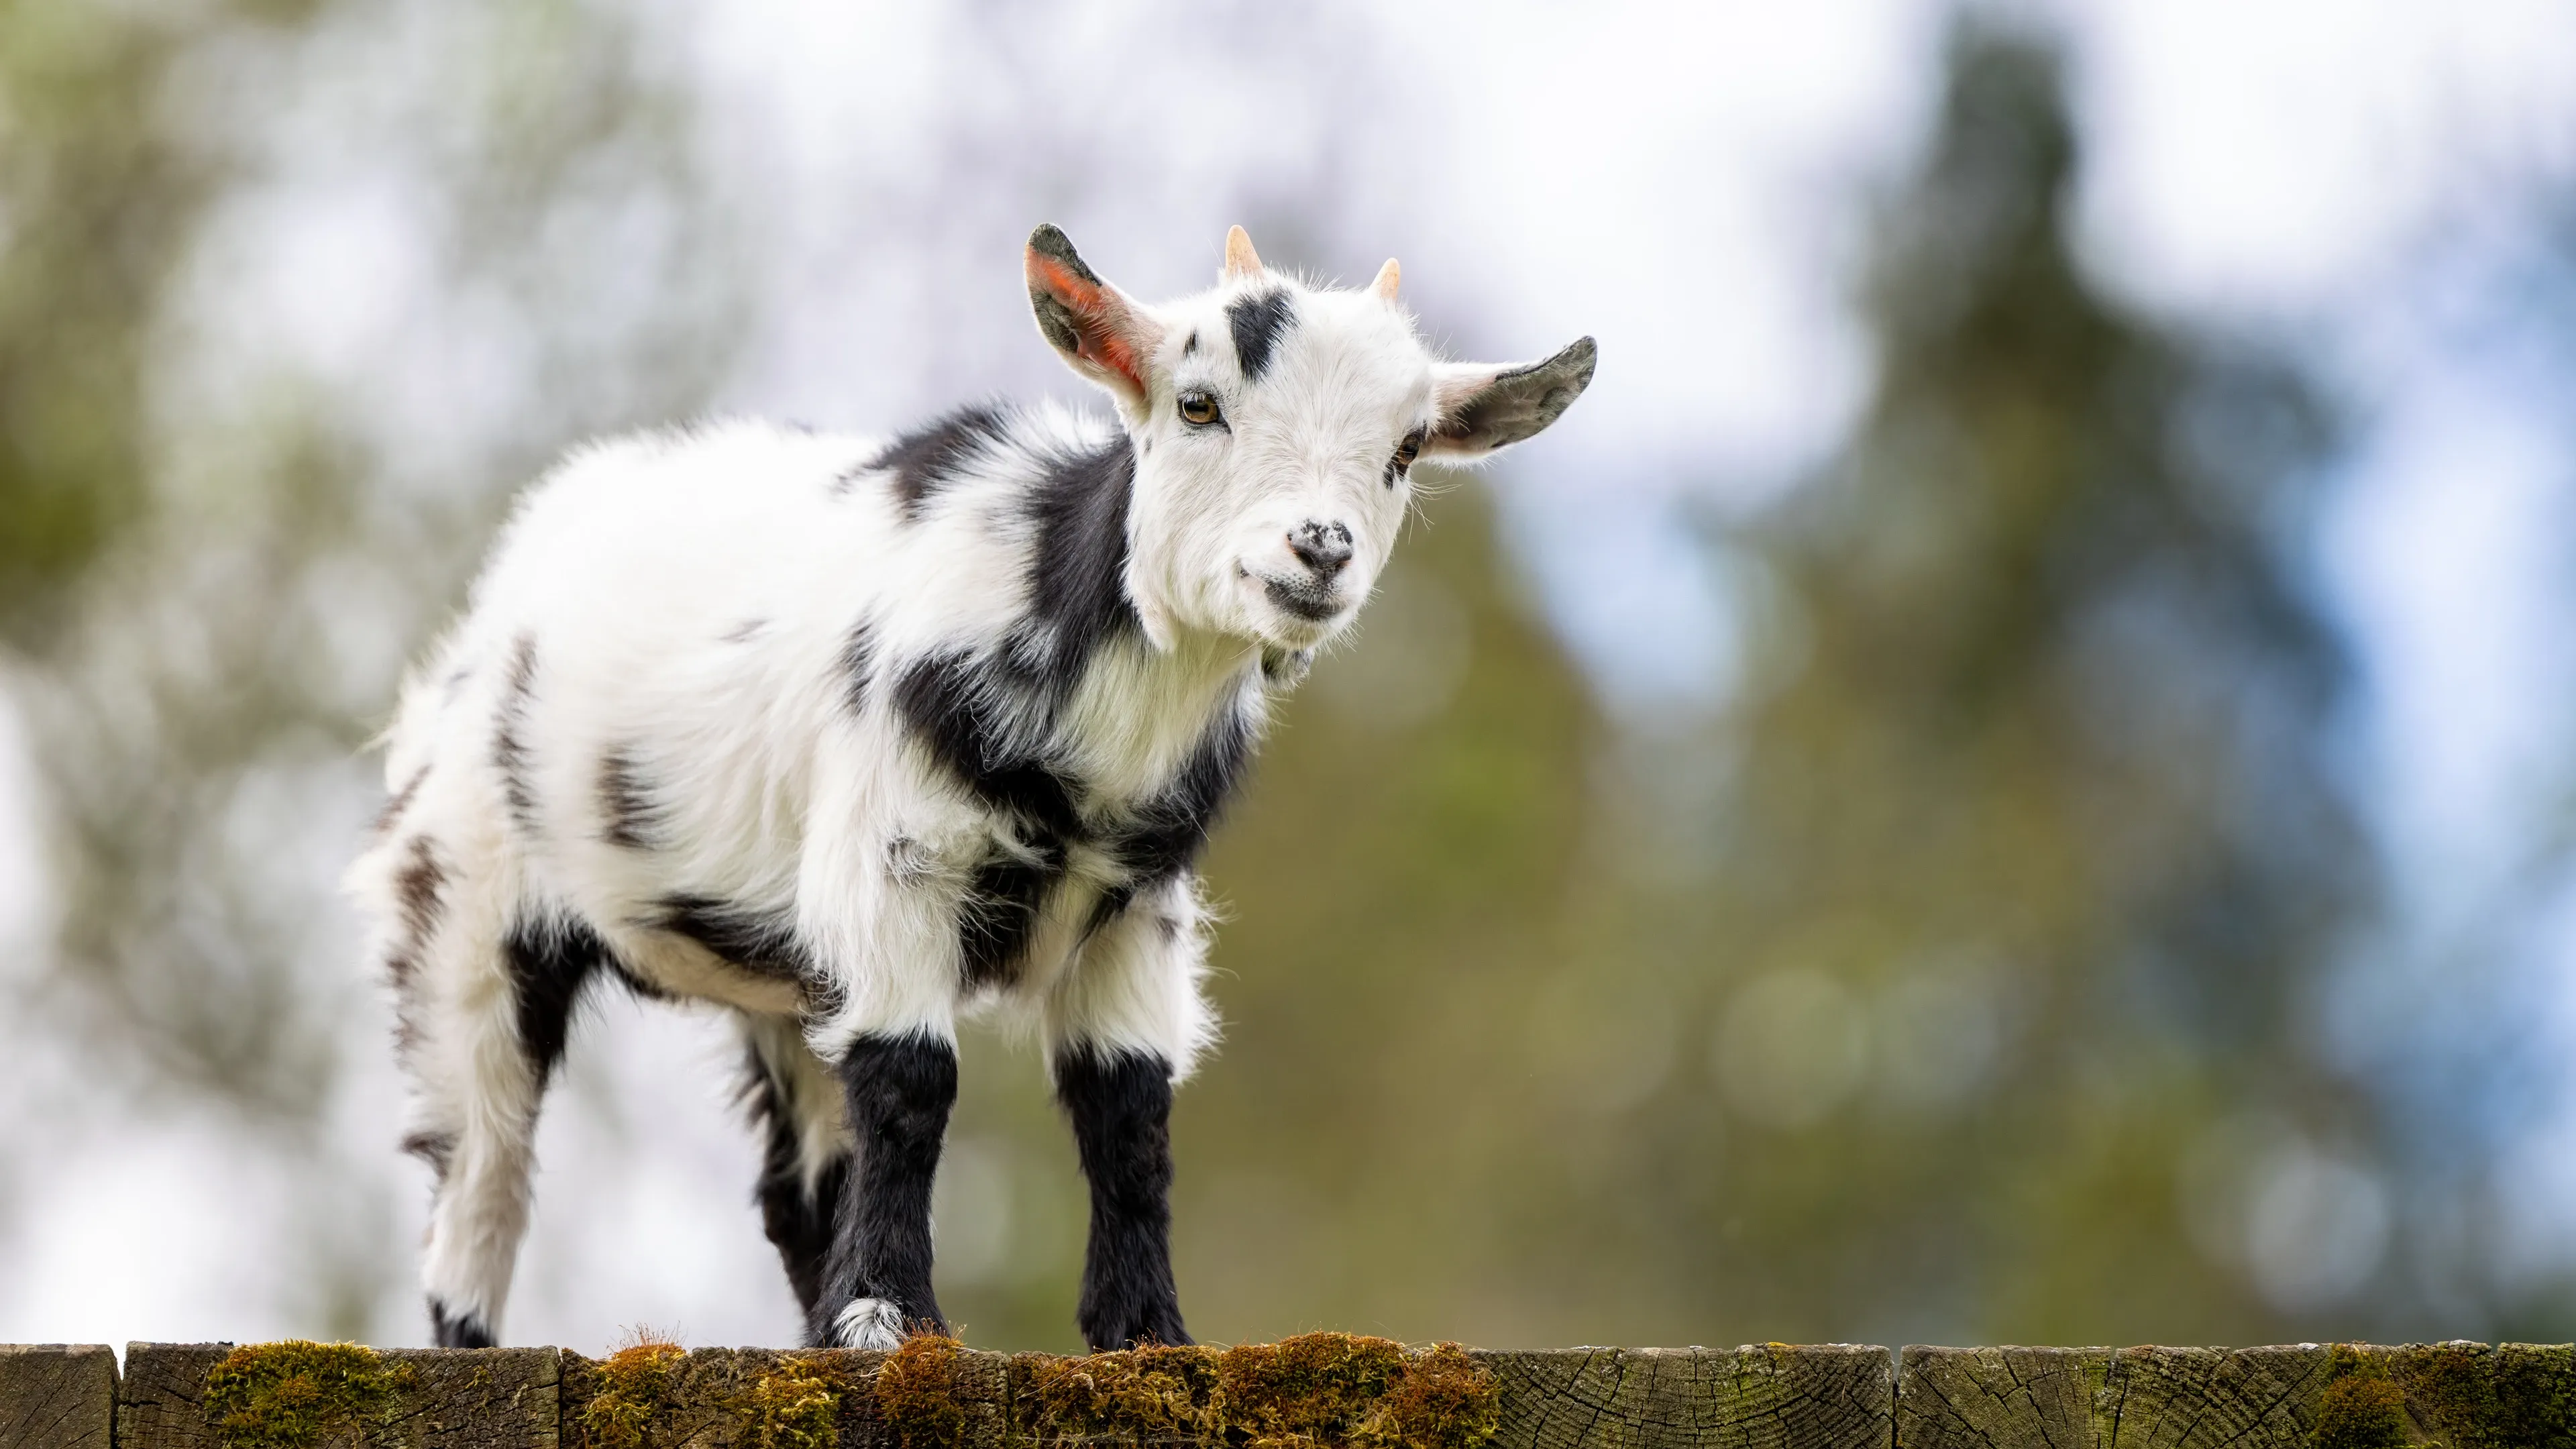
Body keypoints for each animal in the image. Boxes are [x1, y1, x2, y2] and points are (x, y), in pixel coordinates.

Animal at [347, 223, 1595, 1352]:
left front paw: (1147, 1335)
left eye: (1406, 447)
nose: (1320, 550)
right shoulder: (896, 859)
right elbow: (911, 1078)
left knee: (798, 1179)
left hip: (787, 970)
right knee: (482, 1160)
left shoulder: (1140, 910)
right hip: (460, 897)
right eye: (1198, 406)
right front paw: (893, 1320)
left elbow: (1128, 1112)